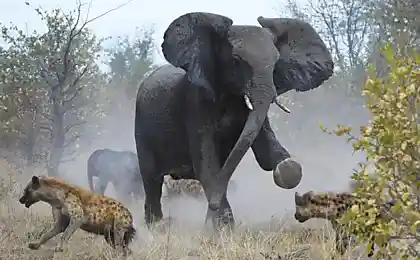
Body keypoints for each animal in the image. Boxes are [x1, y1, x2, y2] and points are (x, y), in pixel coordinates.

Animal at [135, 12, 334, 232]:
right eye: (236, 61)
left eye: (276, 63)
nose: (211, 206)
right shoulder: (195, 104)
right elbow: (206, 164)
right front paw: (220, 227)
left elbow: (266, 153)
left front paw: (287, 167)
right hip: (141, 130)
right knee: (152, 180)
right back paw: (155, 227)